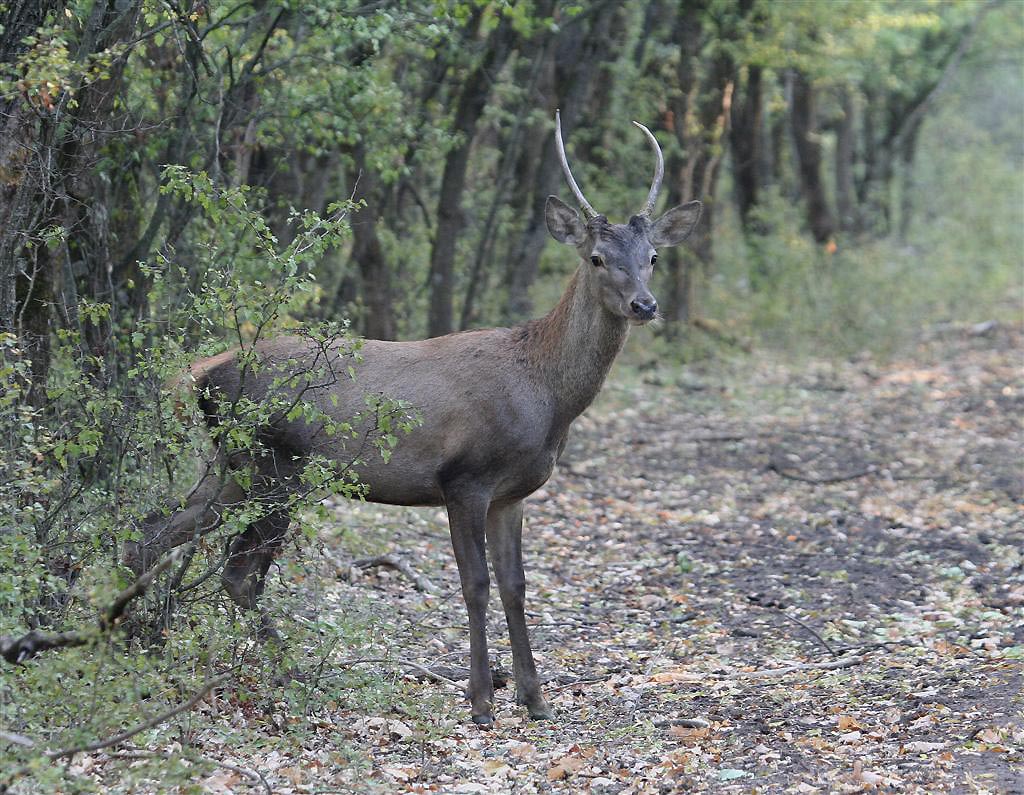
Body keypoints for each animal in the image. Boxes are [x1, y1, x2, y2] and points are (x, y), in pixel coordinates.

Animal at [123, 111, 700, 725]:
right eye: (596, 258)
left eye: (653, 257)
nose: (645, 305)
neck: (546, 394)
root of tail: (199, 373)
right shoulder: (463, 479)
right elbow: (475, 585)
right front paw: (481, 701)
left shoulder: (513, 493)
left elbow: (516, 584)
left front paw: (535, 698)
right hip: (278, 465)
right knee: (238, 572)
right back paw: (291, 674)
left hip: (231, 465)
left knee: (152, 532)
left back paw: (131, 639)